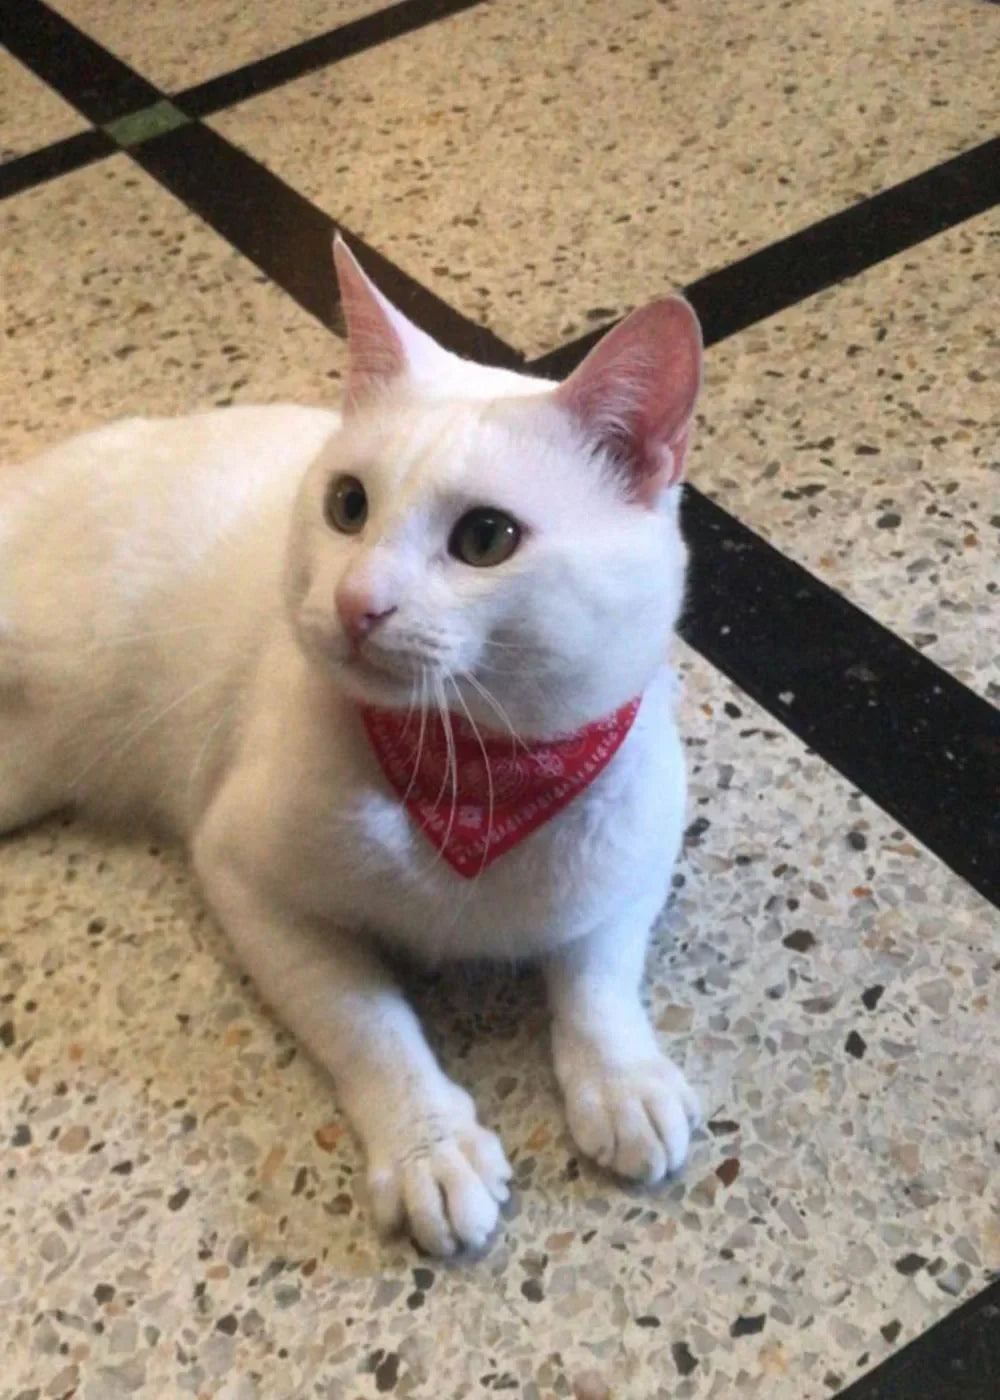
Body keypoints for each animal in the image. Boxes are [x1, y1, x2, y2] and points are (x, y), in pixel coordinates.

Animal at [0, 235, 700, 1254]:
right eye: (347, 505)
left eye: (486, 538)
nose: (354, 602)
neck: (472, 778)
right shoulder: (246, 878)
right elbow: (370, 1024)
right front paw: (428, 1147)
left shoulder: (633, 856)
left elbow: (599, 976)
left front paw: (622, 1081)